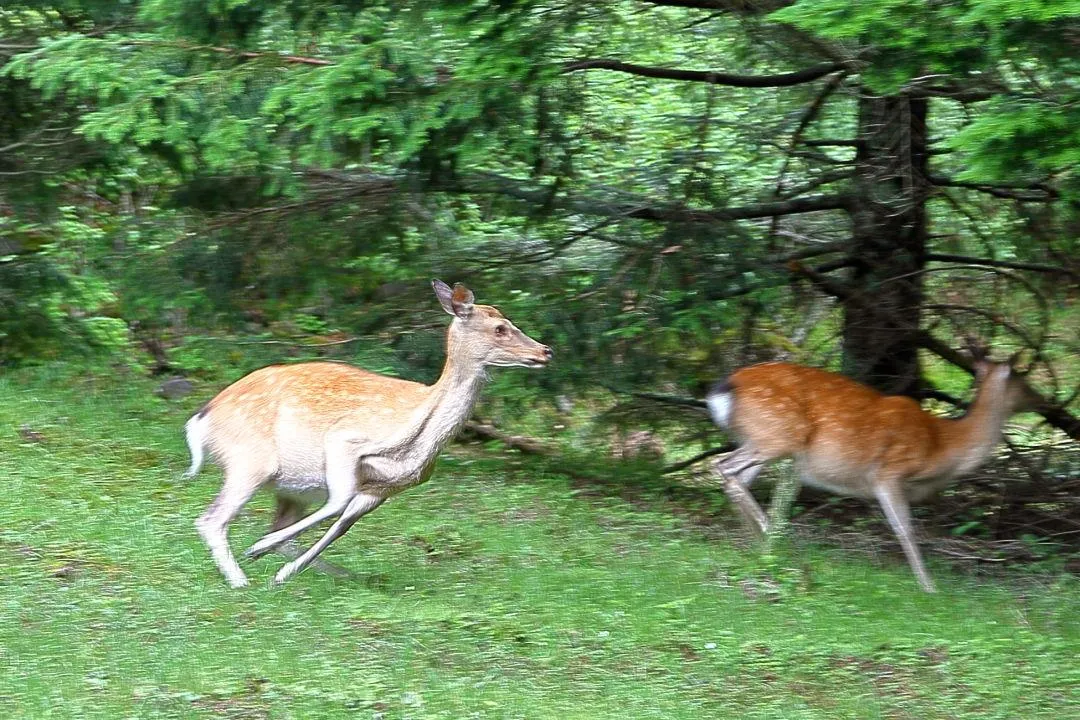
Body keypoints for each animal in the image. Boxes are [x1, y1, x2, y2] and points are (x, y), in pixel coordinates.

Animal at [183, 278, 548, 587]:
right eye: (500, 328)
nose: (546, 351)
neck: (420, 442)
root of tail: (200, 420)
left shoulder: (384, 488)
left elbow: (342, 524)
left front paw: (282, 571)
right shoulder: (346, 440)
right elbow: (337, 502)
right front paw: (258, 549)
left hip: (288, 488)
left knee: (274, 526)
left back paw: (321, 573)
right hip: (249, 462)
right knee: (211, 519)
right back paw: (241, 580)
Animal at [704, 347, 1041, 591]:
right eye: (1024, 380)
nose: (1044, 400)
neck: (942, 447)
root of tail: (723, 390)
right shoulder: (889, 472)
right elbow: (904, 529)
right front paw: (928, 586)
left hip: (761, 440)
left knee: (737, 478)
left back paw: (760, 547)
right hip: (779, 435)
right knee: (723, 466)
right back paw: (775, 539)